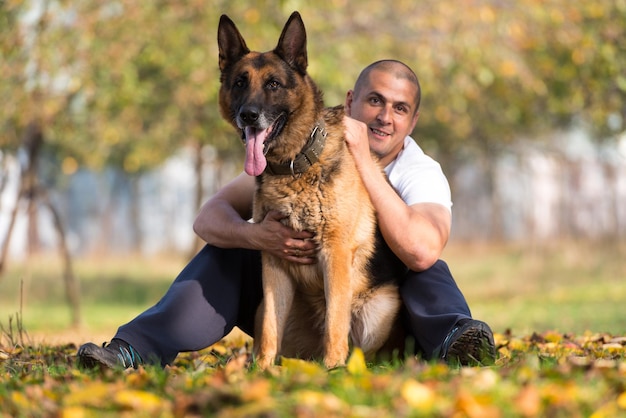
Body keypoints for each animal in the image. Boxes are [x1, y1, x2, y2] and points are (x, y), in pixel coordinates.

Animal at [217, 11, 404, 368]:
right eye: (239, 83)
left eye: (274, 84)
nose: (248, 115)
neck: (294, 164)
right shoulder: (273, 264)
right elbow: (270, 330)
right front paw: (262, 372)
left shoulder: (335, 253)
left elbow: (335, 322)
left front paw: (333, 371)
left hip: (380, 310)